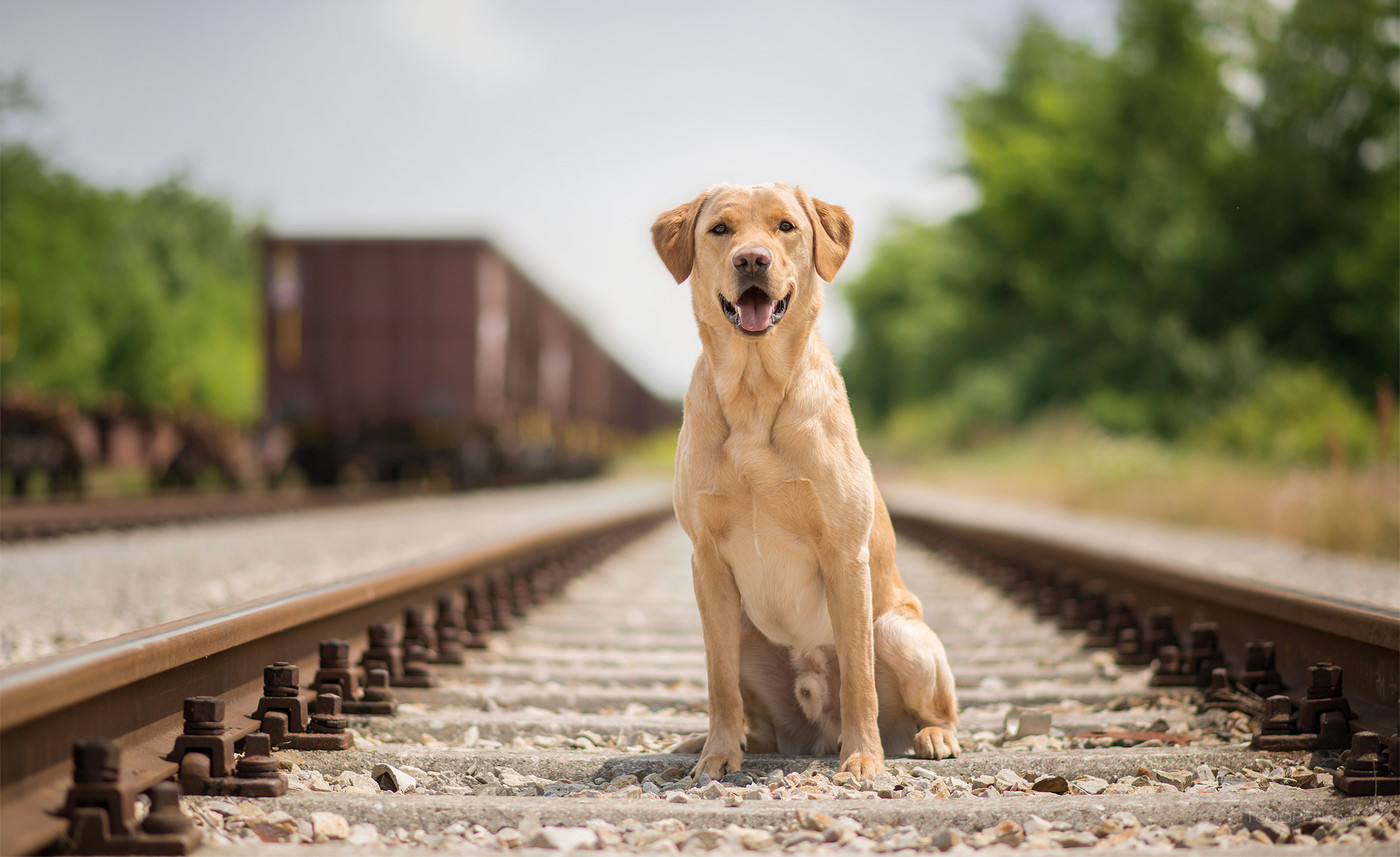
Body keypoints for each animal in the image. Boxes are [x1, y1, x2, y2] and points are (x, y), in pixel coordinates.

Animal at [649, 182, 957, 784]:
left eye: (786, 226)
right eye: (720, 229)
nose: (752, 259)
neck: (754, 394)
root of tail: (816, 734)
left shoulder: (844, 553)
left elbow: (860, 679)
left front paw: (863, 759)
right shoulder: (707, 561)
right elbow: (718, 682)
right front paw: (716, 756)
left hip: (900, 631)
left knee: (933, 708)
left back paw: (931, 737)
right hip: (746, 633)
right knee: (752, 713)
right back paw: (707, 743)